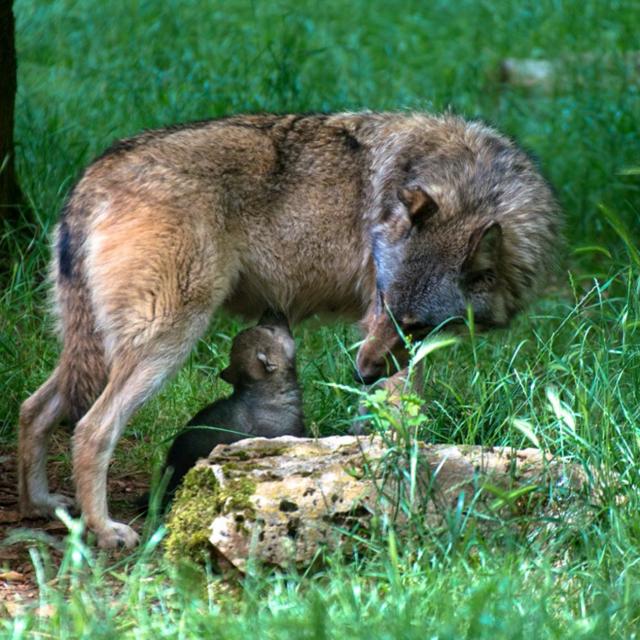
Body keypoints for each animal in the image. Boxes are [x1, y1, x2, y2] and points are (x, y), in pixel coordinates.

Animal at [17, 112, 560, 548]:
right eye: (382, 301)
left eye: (416, 323)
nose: (359, 373)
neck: (471, 184)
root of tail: (97, 174)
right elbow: (397, 418)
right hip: (165, 344)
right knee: (91, 430)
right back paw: (105, 531)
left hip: (94, 352)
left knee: (33, 408)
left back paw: (40, 504)